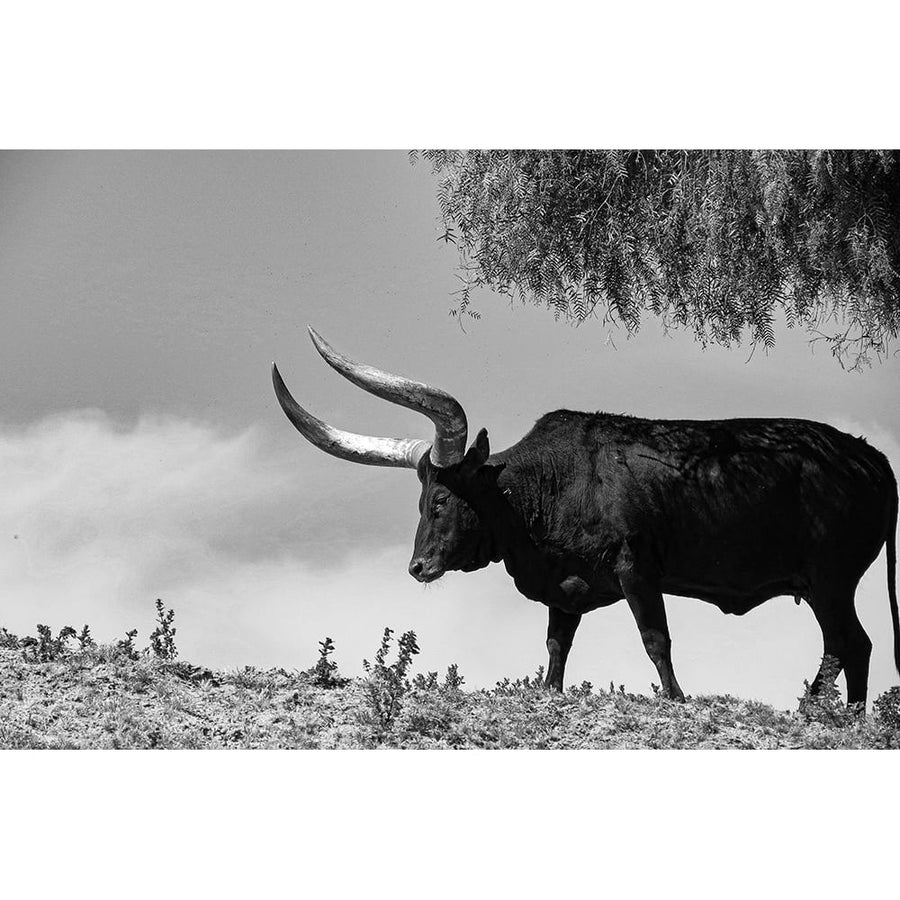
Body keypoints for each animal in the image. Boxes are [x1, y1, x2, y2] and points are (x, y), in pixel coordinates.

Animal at [274, 334, 900, 708]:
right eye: (422, 500)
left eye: (443, 500)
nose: (418, 566)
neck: (548, 485)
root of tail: (871, 457)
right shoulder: (566, 590)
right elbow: (556, 648)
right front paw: (549, 693)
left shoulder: (636, 569)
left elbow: (656, 639)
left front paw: (674, 698)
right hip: (825, 584)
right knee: (854, 646)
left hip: (830, 580)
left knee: (849, 644)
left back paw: (826, 714)